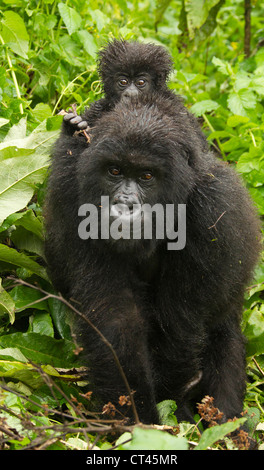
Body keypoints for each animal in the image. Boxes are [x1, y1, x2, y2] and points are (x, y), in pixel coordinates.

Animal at [44, 93, 260, 424]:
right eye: (115, 172)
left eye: (146, 176)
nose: (125, 204)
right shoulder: (73, 194)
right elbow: (117, 317)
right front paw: (137, 417)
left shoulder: (214, 210)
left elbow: (181, 325)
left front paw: (171, 407)